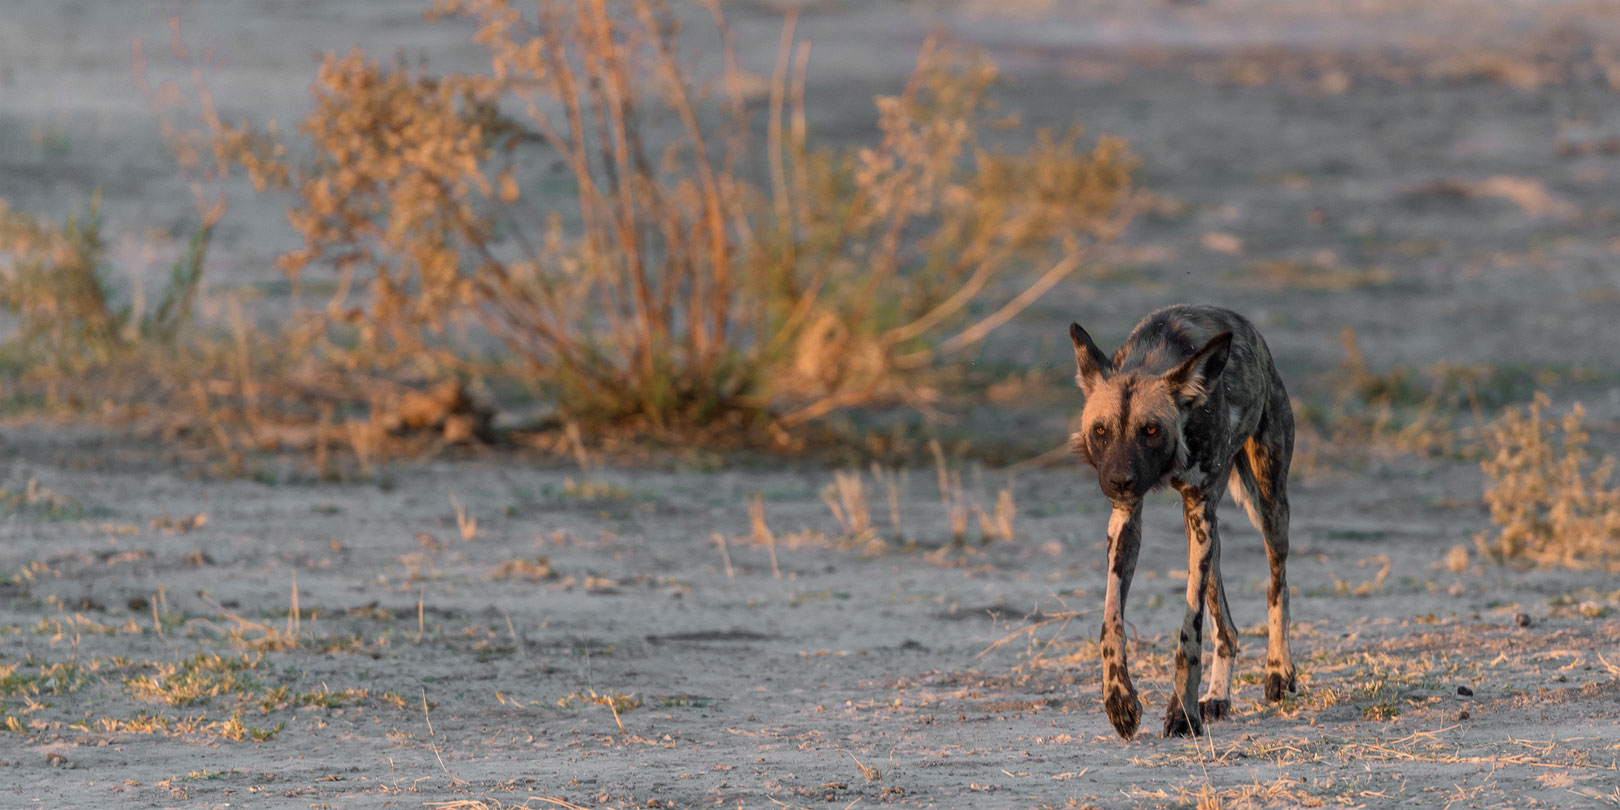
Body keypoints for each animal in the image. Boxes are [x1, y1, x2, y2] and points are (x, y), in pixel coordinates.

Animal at [1069, 304, 1296, 741]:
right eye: (1101, 430)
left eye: (1150, 430)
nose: (1118, 481)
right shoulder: (1127, 519)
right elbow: (1110, 622)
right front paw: (1118, 699)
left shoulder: (1199, 508)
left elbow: (1189, 633)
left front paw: (1181, 713)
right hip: (1208, 535)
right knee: (1226, 627)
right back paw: (1217, 696)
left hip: (1267, 509)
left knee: (1277, 586)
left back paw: (1279, 670)